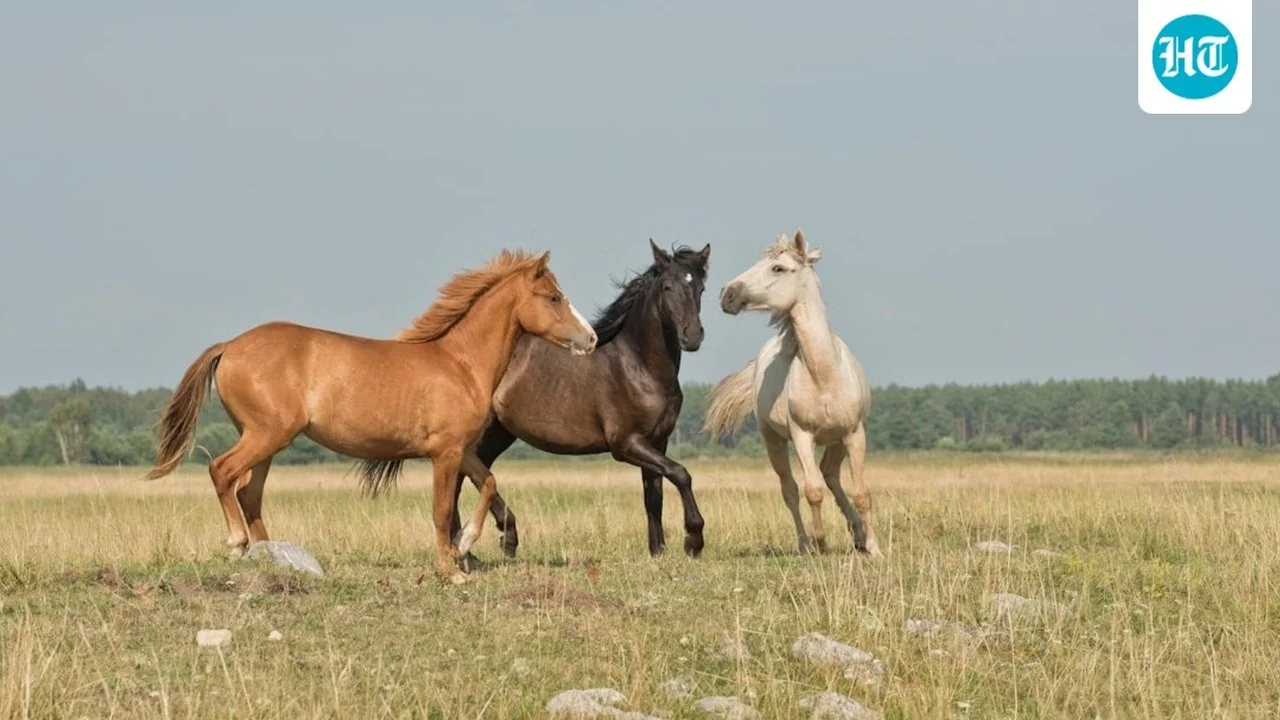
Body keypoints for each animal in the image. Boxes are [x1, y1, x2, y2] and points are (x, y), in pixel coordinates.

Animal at [145, 250, 598, 583]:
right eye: (553, 297)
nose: (591, 339)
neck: (460, 364)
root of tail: (230, 345)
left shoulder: (462, 449)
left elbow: (488, 483)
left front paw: (465, 545)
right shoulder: (445, 453)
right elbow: (440, 510)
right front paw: (451, 569)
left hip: (267, 441)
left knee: (248, 492)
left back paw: (272, 557)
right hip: (265, 435)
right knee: (222, 472)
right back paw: (238, 544)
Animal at [362, 240, 711, 558]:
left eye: (701, 288)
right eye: (667, 286)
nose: (692, 336)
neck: (637, 366)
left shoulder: (656, 441)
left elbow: (654, 494)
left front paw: (658, 552)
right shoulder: (626, 444)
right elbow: (681, 474)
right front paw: (693, 540)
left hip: (497, 434)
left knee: (468, 476)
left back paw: (483, 544)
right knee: (462, 478)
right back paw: (488, 543)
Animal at [704, 230, 881, 556]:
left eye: (778, 268)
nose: (727, 294)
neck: (824, 375)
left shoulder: (854, 434)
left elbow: (861, 492)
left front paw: (874, 548)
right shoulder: (802, 436)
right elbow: (812, 491)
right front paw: (821, 542)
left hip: (837, 440)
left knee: (830, 474)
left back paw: (858, 535)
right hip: (774, 441)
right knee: (791, 490)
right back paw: (806, 544)